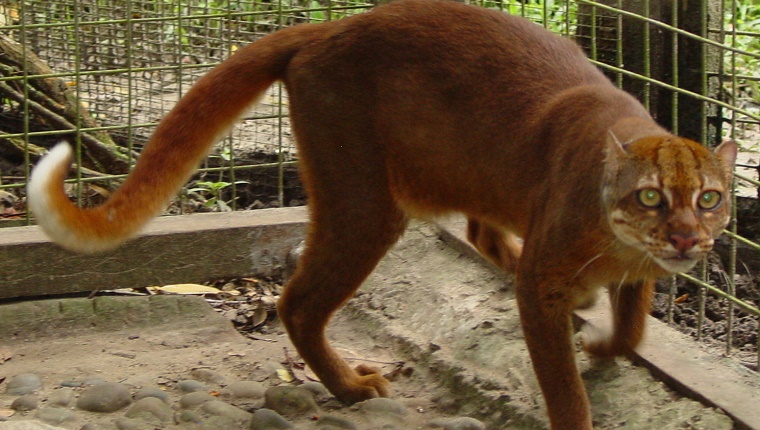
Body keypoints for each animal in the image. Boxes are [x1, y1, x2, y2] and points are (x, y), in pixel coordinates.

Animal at [29, 1, 736, 428]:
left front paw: (605, 340)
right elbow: (564, 383)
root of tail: (330, 27)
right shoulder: (546, 282)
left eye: (710, 198)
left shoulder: (632, 268)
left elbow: (635, 324)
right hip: (365, 200)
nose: (685, 238)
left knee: (476, 228)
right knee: (298, 302)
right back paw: (350, 387)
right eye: (650, 196)